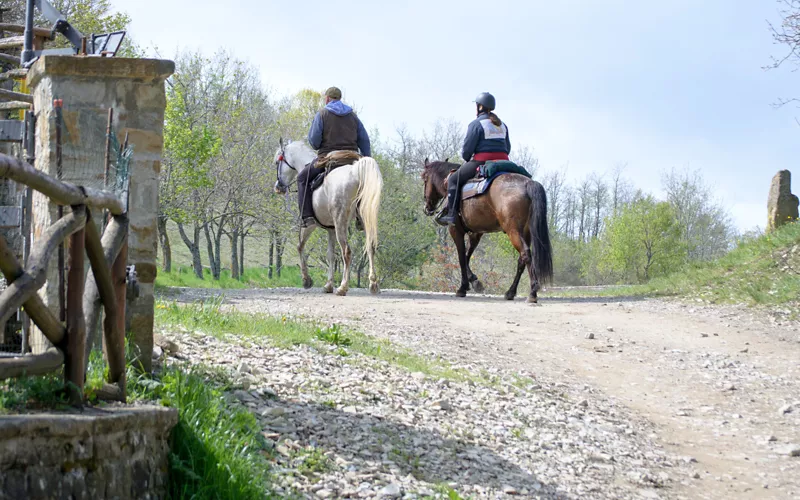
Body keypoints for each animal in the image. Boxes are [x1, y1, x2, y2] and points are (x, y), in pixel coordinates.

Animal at [274, 141, 382, 294]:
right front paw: (329, 284)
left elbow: (300, 246)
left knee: (346, 251)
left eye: (277, 162)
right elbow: (330, 255)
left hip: (340, 222)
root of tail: (356, 172)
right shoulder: (331, 229)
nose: (278, 187)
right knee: (371, 247)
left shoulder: (310, 225)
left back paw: (343, 287)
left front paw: (306, 280)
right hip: (366, 220)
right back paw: (373, 284)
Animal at [422, 159, 552, 300]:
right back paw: (510, 292)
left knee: (525, 254)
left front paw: (463, 287)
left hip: (514, 232)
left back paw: (533, 292)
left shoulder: (455, 230)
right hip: (525, 233)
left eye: (424, 178)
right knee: (521, 260)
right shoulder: (476, 233)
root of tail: (528, 183)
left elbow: (461, 257)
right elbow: (467, 256)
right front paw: (474, 281)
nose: (427, 207)